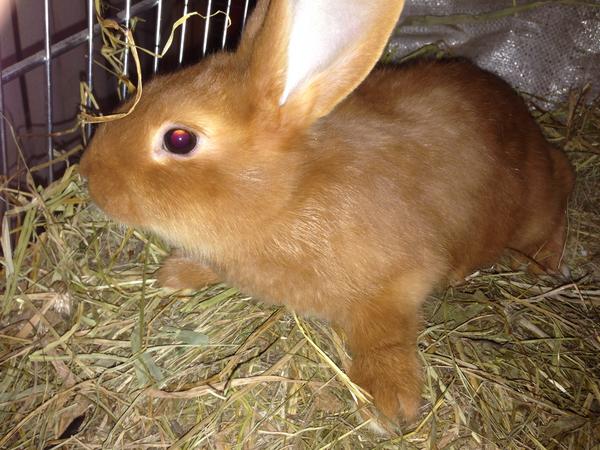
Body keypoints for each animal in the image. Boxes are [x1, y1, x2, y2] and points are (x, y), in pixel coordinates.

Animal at [80, 0, 574, 422]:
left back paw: (544, 263)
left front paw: (390, 401)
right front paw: (176, 274)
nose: (89, 175)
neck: (288, 196)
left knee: (560, 188)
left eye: (179, 140)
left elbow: (384, 334)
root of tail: (531, 124)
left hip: (533, 206)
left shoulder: (400, 280)